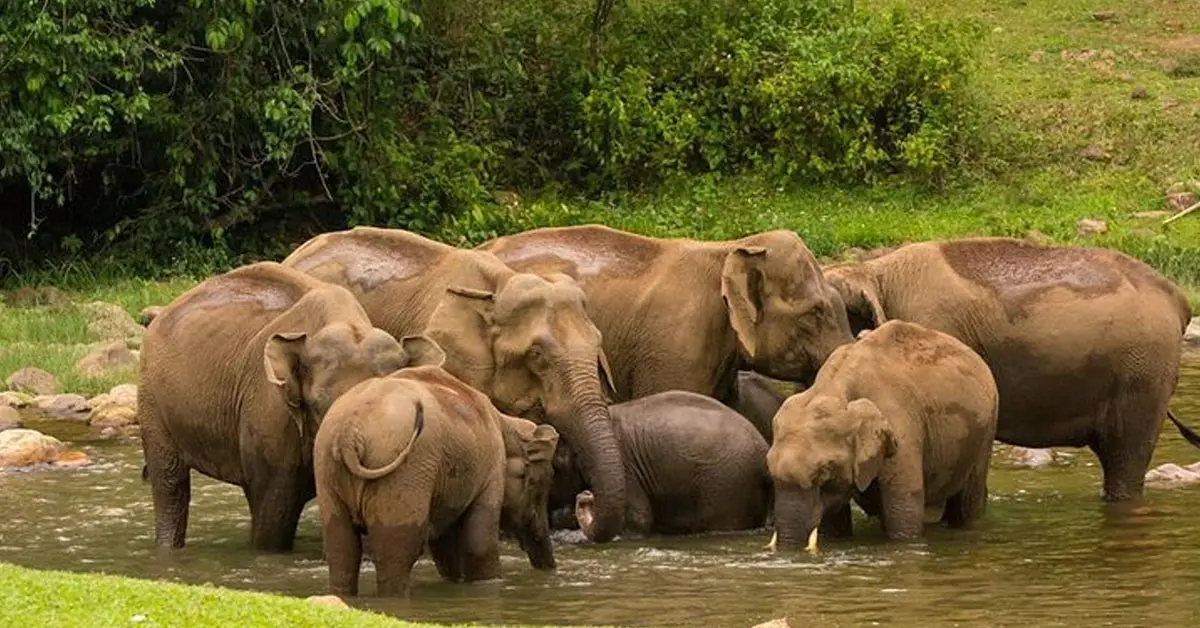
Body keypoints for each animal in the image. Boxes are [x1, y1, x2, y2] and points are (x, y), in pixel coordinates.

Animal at [313, 364, 560, 597]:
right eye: (539, 487)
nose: (550, 570)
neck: (505, 422)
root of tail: (348, 434)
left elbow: (445, 548)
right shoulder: (491, 466)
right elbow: (480, 544)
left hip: (327, 469)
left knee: (342, 549)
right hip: (404, 474)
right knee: (397, 551)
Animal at [549, 390, 772, 539]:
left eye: (555, 469)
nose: (585, 497)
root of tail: (764, 448)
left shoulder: (626, 465)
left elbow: (638, 518)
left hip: (726, 483)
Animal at [767, 320, 999, 550]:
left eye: (824, 472)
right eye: (769, 469)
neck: (832, 387)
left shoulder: (902, 429)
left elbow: (904, 511)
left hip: (985, 432)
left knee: (967, 504)